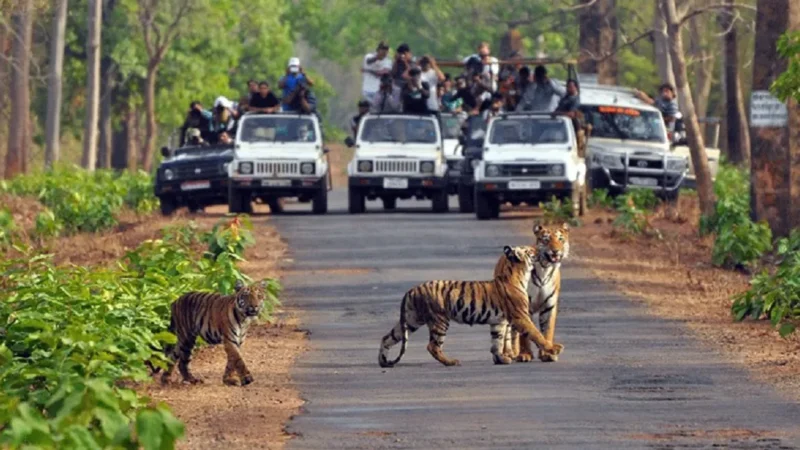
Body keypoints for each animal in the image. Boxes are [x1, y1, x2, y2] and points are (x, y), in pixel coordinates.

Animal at [380, 246, 564, 370]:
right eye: (530, 250)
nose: (540, 250)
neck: (519, 274)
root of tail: (412, 290)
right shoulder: (520, 316)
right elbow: (536, 334)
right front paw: (553, 349)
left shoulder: (499, 322)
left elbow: (497, 342)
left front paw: (501, 359)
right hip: (440, 320)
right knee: (433, 346)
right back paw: (451, 362)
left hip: (411, 320)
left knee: (387, 337)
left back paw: (382, 361)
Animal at [496, 223, 572, 364]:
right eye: (546, 239)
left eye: (560, 239)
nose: (555, 251)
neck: (545, 268)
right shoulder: (525, 306)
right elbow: (525, 334)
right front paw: (525, 354)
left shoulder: (549, 306)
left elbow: (547, 330)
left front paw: (547, 354)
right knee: (508, 331)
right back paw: (508, 353)